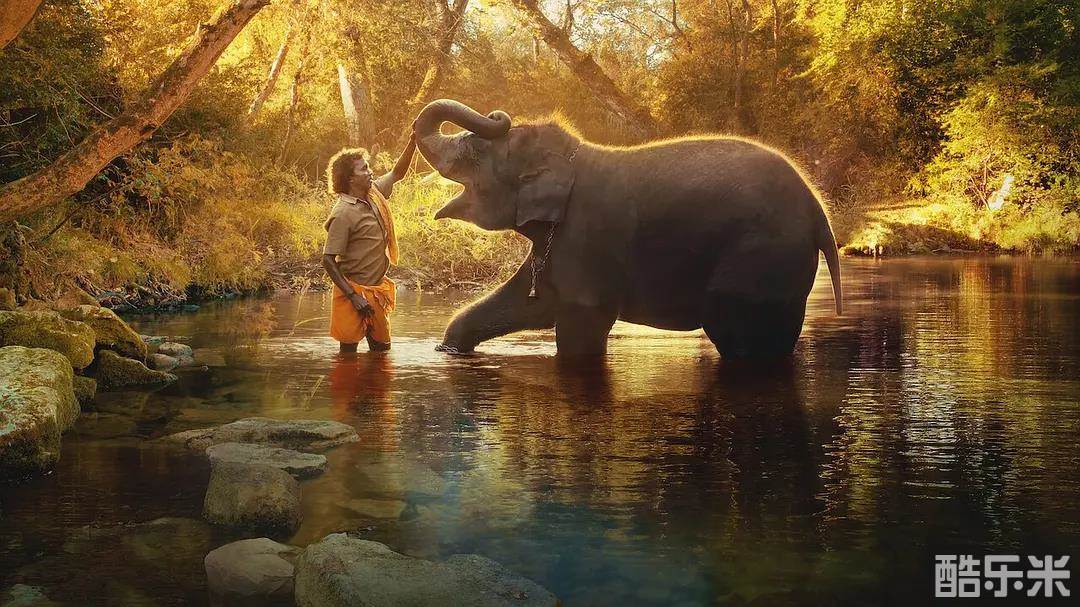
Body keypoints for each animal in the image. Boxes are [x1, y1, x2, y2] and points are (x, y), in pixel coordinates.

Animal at [412, 99, 842, 358]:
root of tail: (820, 214)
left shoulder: (587, 235)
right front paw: (450, 350)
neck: (571, 157)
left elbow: (581, 325)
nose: (498, 115)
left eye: (475, 152)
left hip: (761, 256)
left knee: (737, 333)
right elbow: (530, 302)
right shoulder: (560, 241)